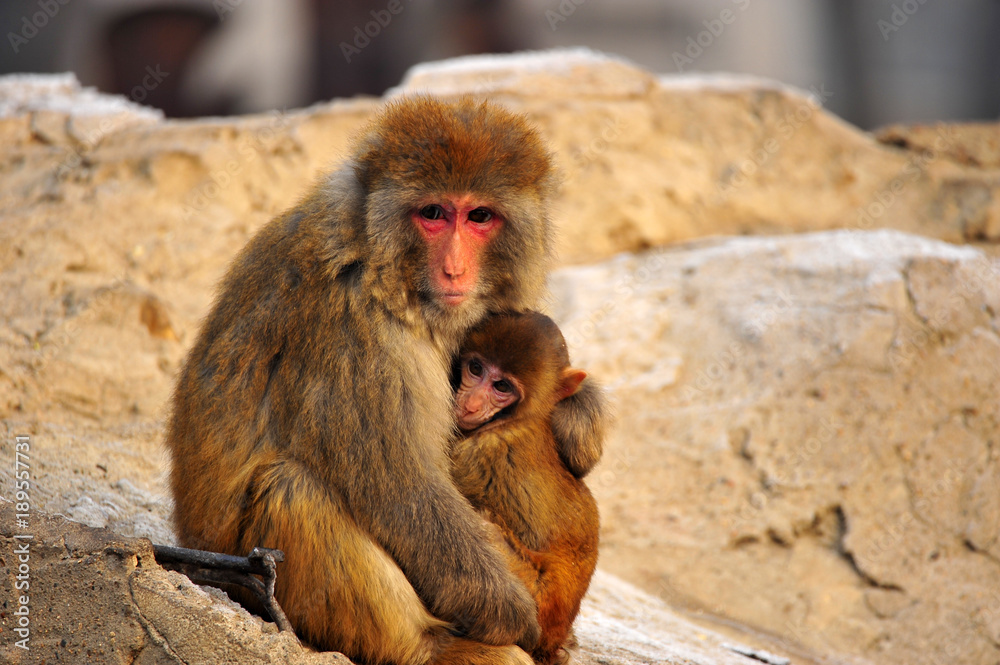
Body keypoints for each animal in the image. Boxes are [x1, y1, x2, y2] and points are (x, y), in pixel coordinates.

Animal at [449, 311, 600, 665]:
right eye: (476, 368)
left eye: (502, 386)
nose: (471, 404)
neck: (515, 420)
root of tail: (550, 642)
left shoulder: (480, 457)